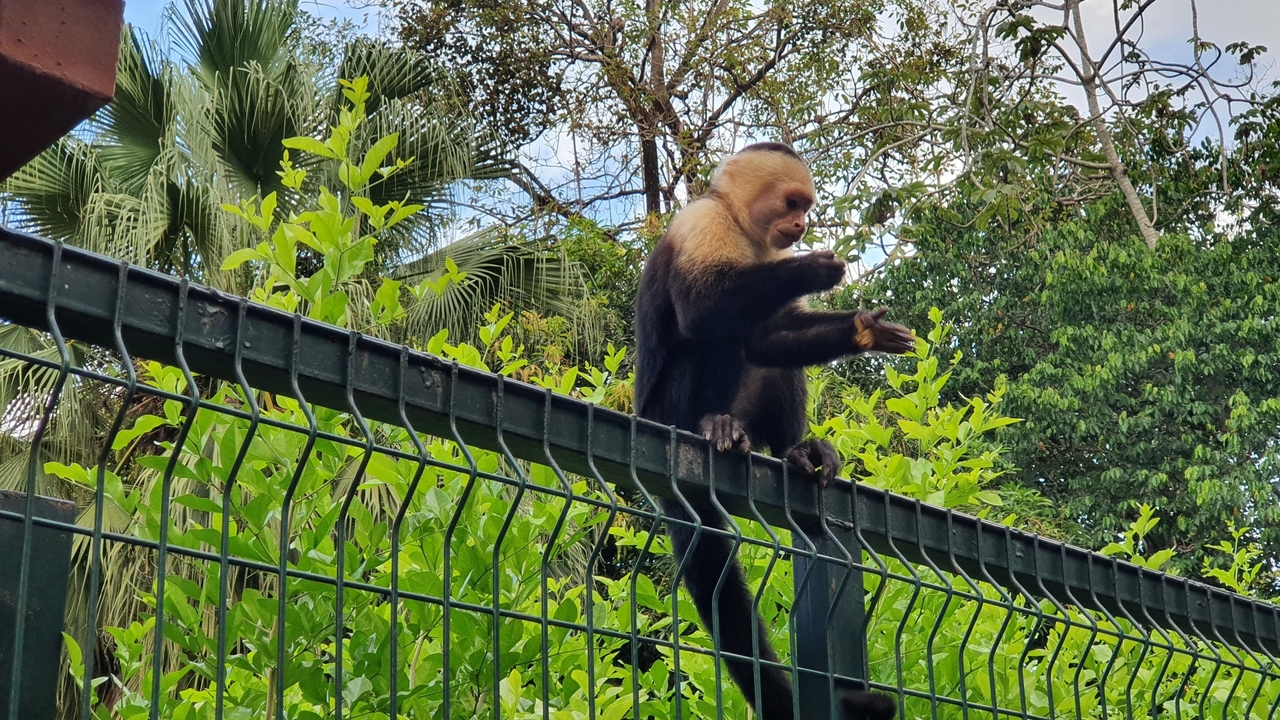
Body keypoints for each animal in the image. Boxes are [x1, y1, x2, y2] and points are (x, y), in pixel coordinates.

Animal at [634, 142, 914, 720]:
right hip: (662, 412)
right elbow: (702, 309)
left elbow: (772, 338)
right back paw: (713, 426)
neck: (744, 228)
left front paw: (864, 329)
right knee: (712, 337)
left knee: (766, 356)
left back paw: (797, 454)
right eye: (792, 202)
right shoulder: (702, 222)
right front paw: (814, 271)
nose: (803, 224)